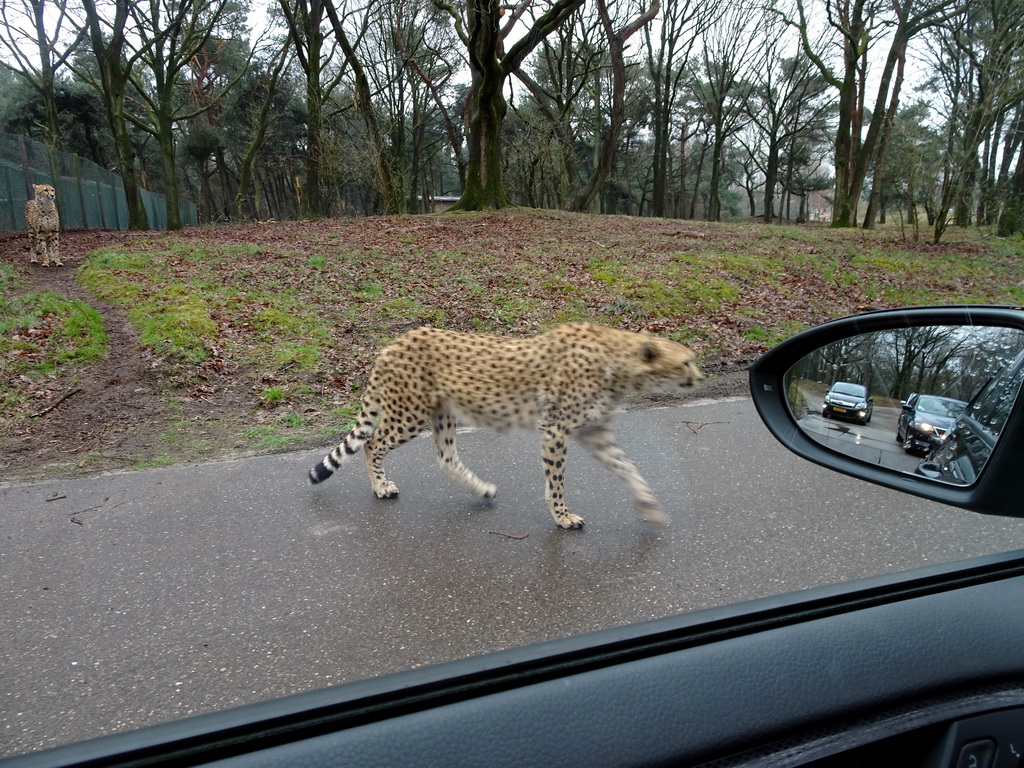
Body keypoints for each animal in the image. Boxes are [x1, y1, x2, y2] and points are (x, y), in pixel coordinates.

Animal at [305, 323, 704, 528]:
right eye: (686, 362)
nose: (700, 377)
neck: (617, 359)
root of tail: (393, 343)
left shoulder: (594, 432)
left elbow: (629, 468)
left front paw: (649, 505)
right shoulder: (555, 428)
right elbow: (557, 479)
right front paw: (562, 517)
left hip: (442, 412)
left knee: (445, 457)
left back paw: (482, 489)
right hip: (410, 413)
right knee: (374, 443)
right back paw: (381, 487)